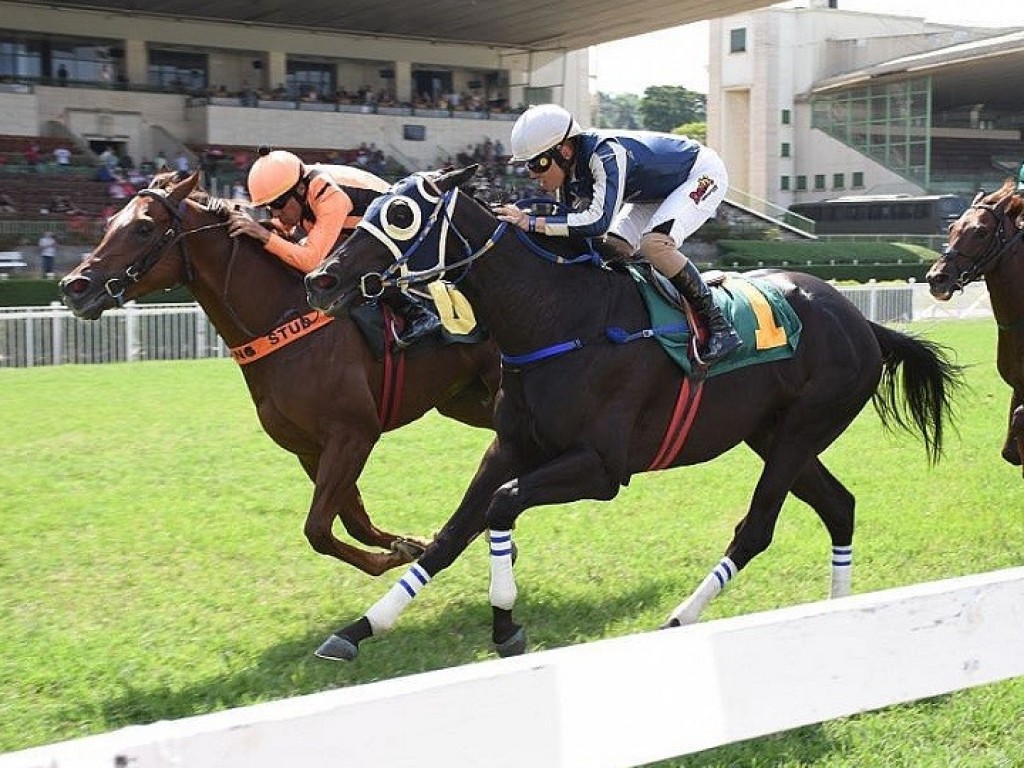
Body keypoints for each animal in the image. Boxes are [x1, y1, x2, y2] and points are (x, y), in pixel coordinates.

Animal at [58, 173, 499, 577]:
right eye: (110, 221)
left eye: (144, 227)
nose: (73, 286)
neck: (283, 323)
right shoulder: (310, 448)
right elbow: (354, 523)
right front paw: (410, 544)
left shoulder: (354, 433)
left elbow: (318, 529)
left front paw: (402, 552)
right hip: (463, 401)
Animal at [301, 167, 958, 663]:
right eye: (365, 206)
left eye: (401, 214)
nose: (321, 279)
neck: (557, 317)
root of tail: (862, 322)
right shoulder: (510, 446)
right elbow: (449, 535)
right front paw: (360, 629)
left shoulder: (600, 468)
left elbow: (501, 506)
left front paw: (505, 624)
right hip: (774, 437)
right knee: (839, 506)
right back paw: (837, 611)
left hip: (801, 431)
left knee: (757, 528)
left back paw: (680, 618)